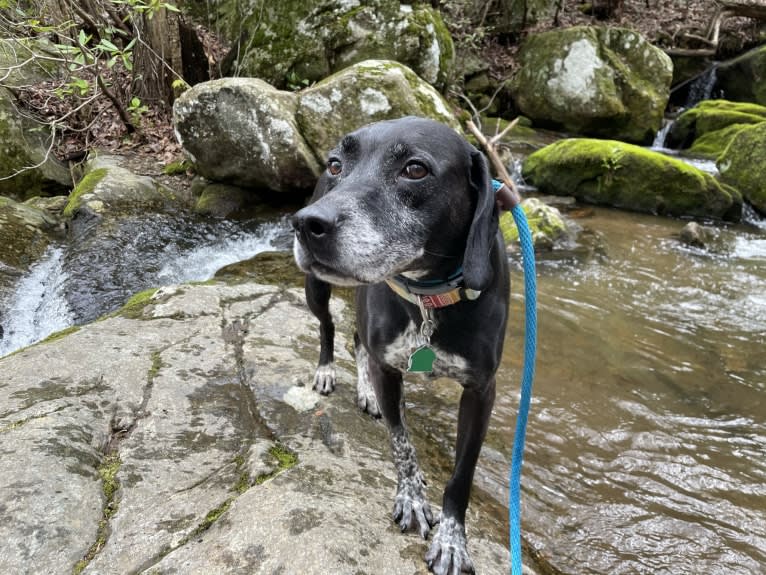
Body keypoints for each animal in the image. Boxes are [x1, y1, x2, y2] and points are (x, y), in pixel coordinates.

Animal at [294, 117, 510, 575]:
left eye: (415, 169)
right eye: (337, 164)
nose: (306, 223)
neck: (430, 295)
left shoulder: (482, 391)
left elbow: (461, 476)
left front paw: (452, 540)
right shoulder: (388, 369)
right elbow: (402, 443)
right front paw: (411, 498)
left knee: (357, 339)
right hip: (316, 290)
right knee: (328, 329)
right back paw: (327, 371)